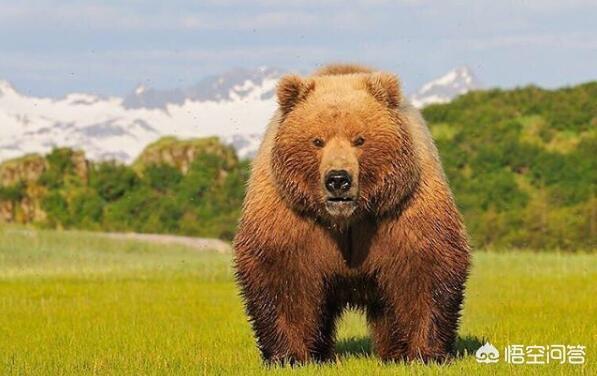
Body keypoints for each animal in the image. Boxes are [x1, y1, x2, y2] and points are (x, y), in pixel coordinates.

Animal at [233, 64, 470, 364]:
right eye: (317, 140)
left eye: (360, 139)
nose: (338, 179)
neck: (347, 220)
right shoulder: (290, 214)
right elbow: (281, 275)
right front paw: (289, 356)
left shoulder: (402, 210)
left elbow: (424, 268)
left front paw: (425, 353)